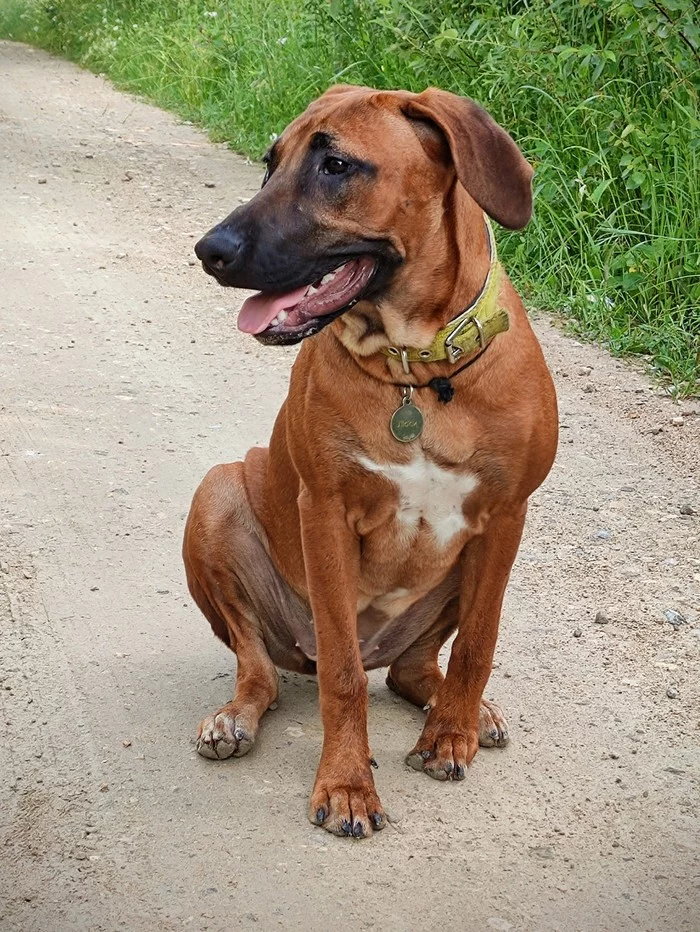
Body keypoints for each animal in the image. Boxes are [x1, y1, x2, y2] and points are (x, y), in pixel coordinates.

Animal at [186, 85, 556, 836]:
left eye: (336, 165)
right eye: (270, 163)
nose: (209, 250)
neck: (417, 369)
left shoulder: (507, 517)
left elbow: (477, 643)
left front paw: (451, 737)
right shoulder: (325, 513)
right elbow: (344, 676)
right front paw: (347, 783)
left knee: (416, 670)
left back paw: (465, 713)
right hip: (217, 493)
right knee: (262, 669)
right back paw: (235, 718)